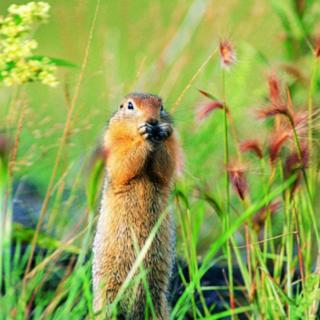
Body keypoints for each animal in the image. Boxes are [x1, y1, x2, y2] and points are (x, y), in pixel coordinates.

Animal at [94, 92, 181, 318]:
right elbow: (123, 161)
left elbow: (166, 164)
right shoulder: (113, 141)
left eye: (161, 107)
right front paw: (143, 135)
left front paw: (163, 131)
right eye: (130, 106)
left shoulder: (172, 146)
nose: (152, 121)